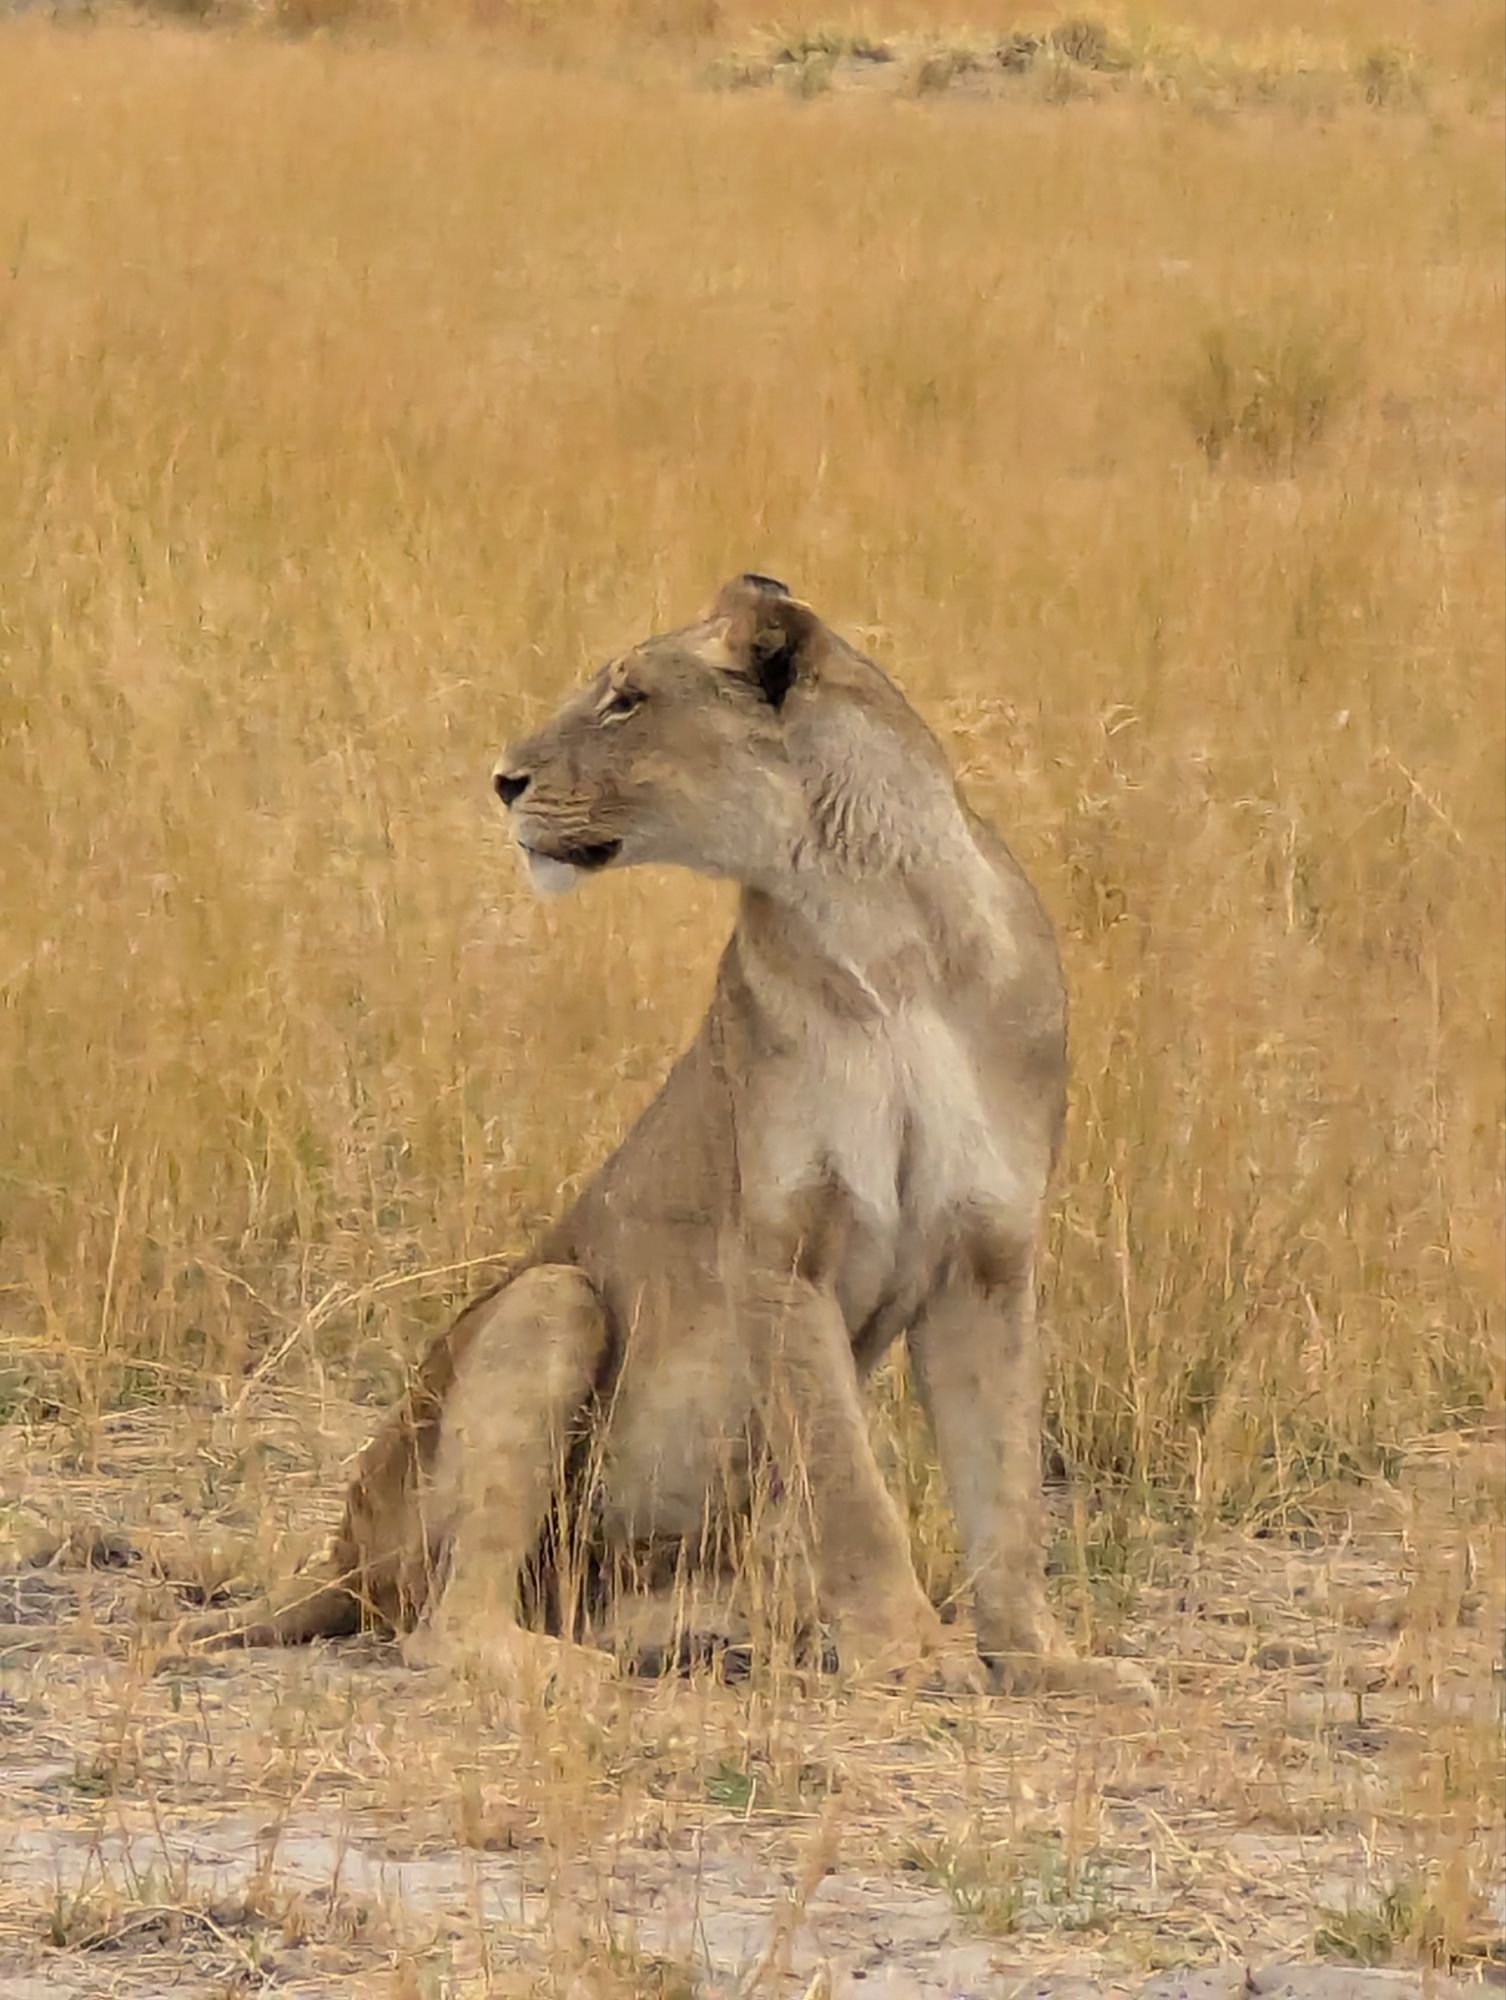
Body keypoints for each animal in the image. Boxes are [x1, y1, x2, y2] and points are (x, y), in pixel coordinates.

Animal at [177, 575, 1141, 1699]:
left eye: (626, 700)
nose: (501, 781)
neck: (881, 926)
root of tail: (338, 1553)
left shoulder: (987, 1256)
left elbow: (1008, 1493)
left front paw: (1046, 1661)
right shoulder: (785, 1251)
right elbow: (850, 1486)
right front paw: (907, 1651)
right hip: (549, 1302)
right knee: (446, 1624)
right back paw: (579, 1672)